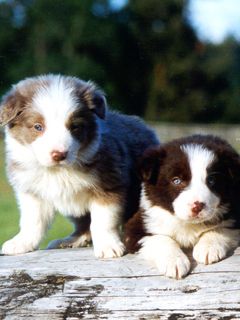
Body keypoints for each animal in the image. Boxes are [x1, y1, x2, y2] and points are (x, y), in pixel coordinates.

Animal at [0, 74, 159, 258]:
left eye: (74, 127)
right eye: (38, 127)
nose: (59, 154)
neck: (58, 171)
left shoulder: (109, 186)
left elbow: (103, 221)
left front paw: (108, 246)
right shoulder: (32, 192)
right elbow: (33, 221)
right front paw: (21, 243)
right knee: (83, 225)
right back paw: (69, 241)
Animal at [124, 134, 240, 278]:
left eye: (211, 180)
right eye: (176, 180)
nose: (197, 206)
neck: (189, 223)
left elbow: (220, 228)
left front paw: (208, 248)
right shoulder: (137, 227)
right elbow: (160, 238)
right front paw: (174, 262)